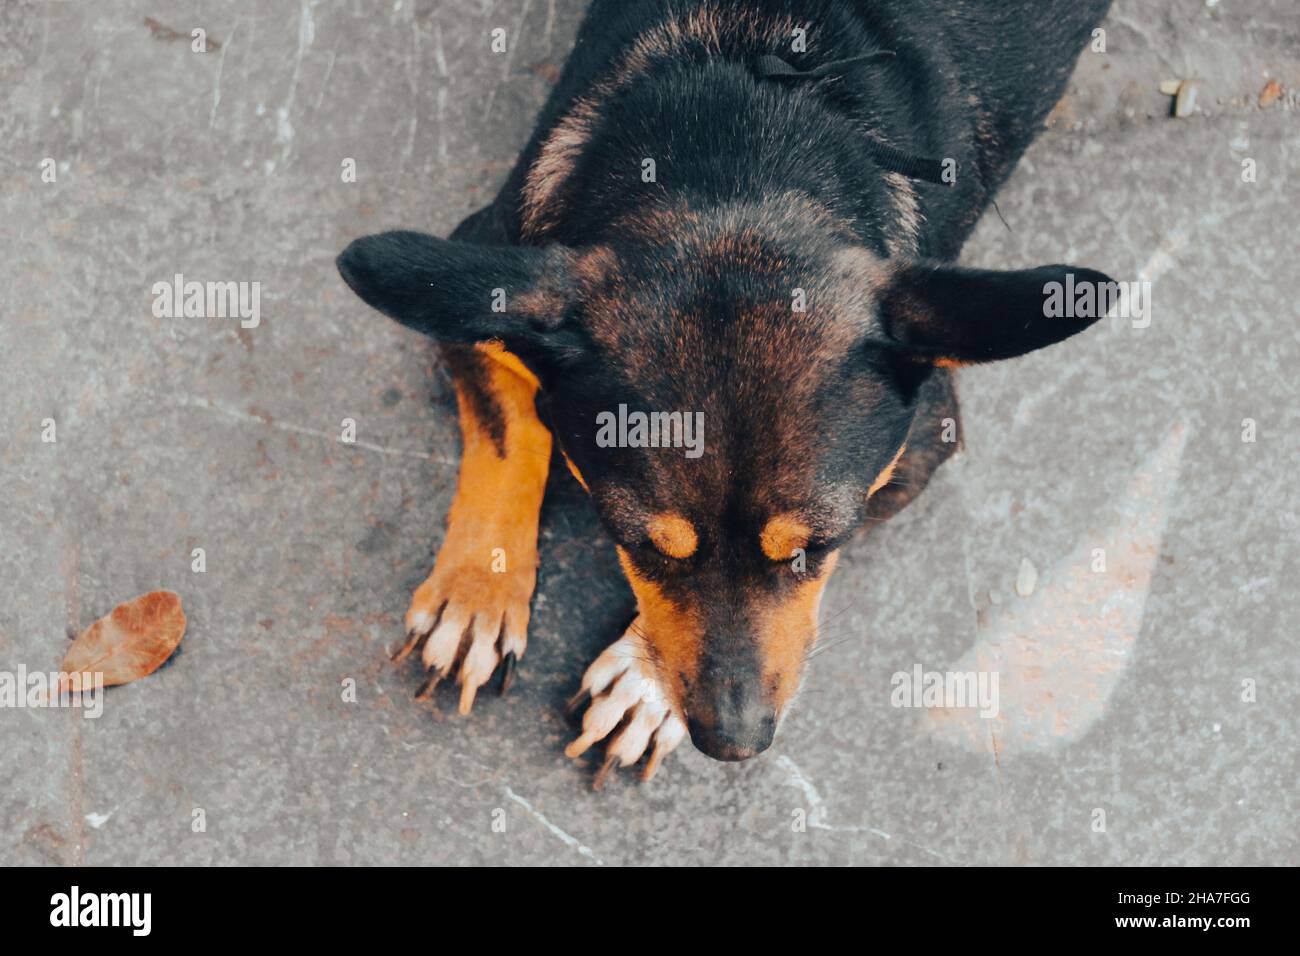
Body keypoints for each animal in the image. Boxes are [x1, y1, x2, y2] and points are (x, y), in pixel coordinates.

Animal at [338, 0, 1118, 785]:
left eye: (819, 547)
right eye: (638, 545)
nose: (732, 743)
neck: (739, 158)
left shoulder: (924, 441)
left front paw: (640, 688)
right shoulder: (482, 278)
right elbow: (509, 437)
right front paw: (476, 596)